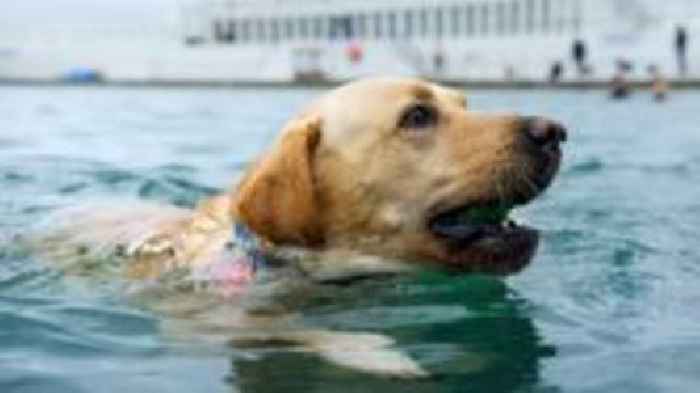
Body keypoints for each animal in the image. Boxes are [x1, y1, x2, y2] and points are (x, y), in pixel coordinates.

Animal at [35, 77, 568, 376]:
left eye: (465, 103)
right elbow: (303, 329)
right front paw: (381, 354)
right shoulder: (201, 318)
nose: (556, 132)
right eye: (417, 115)